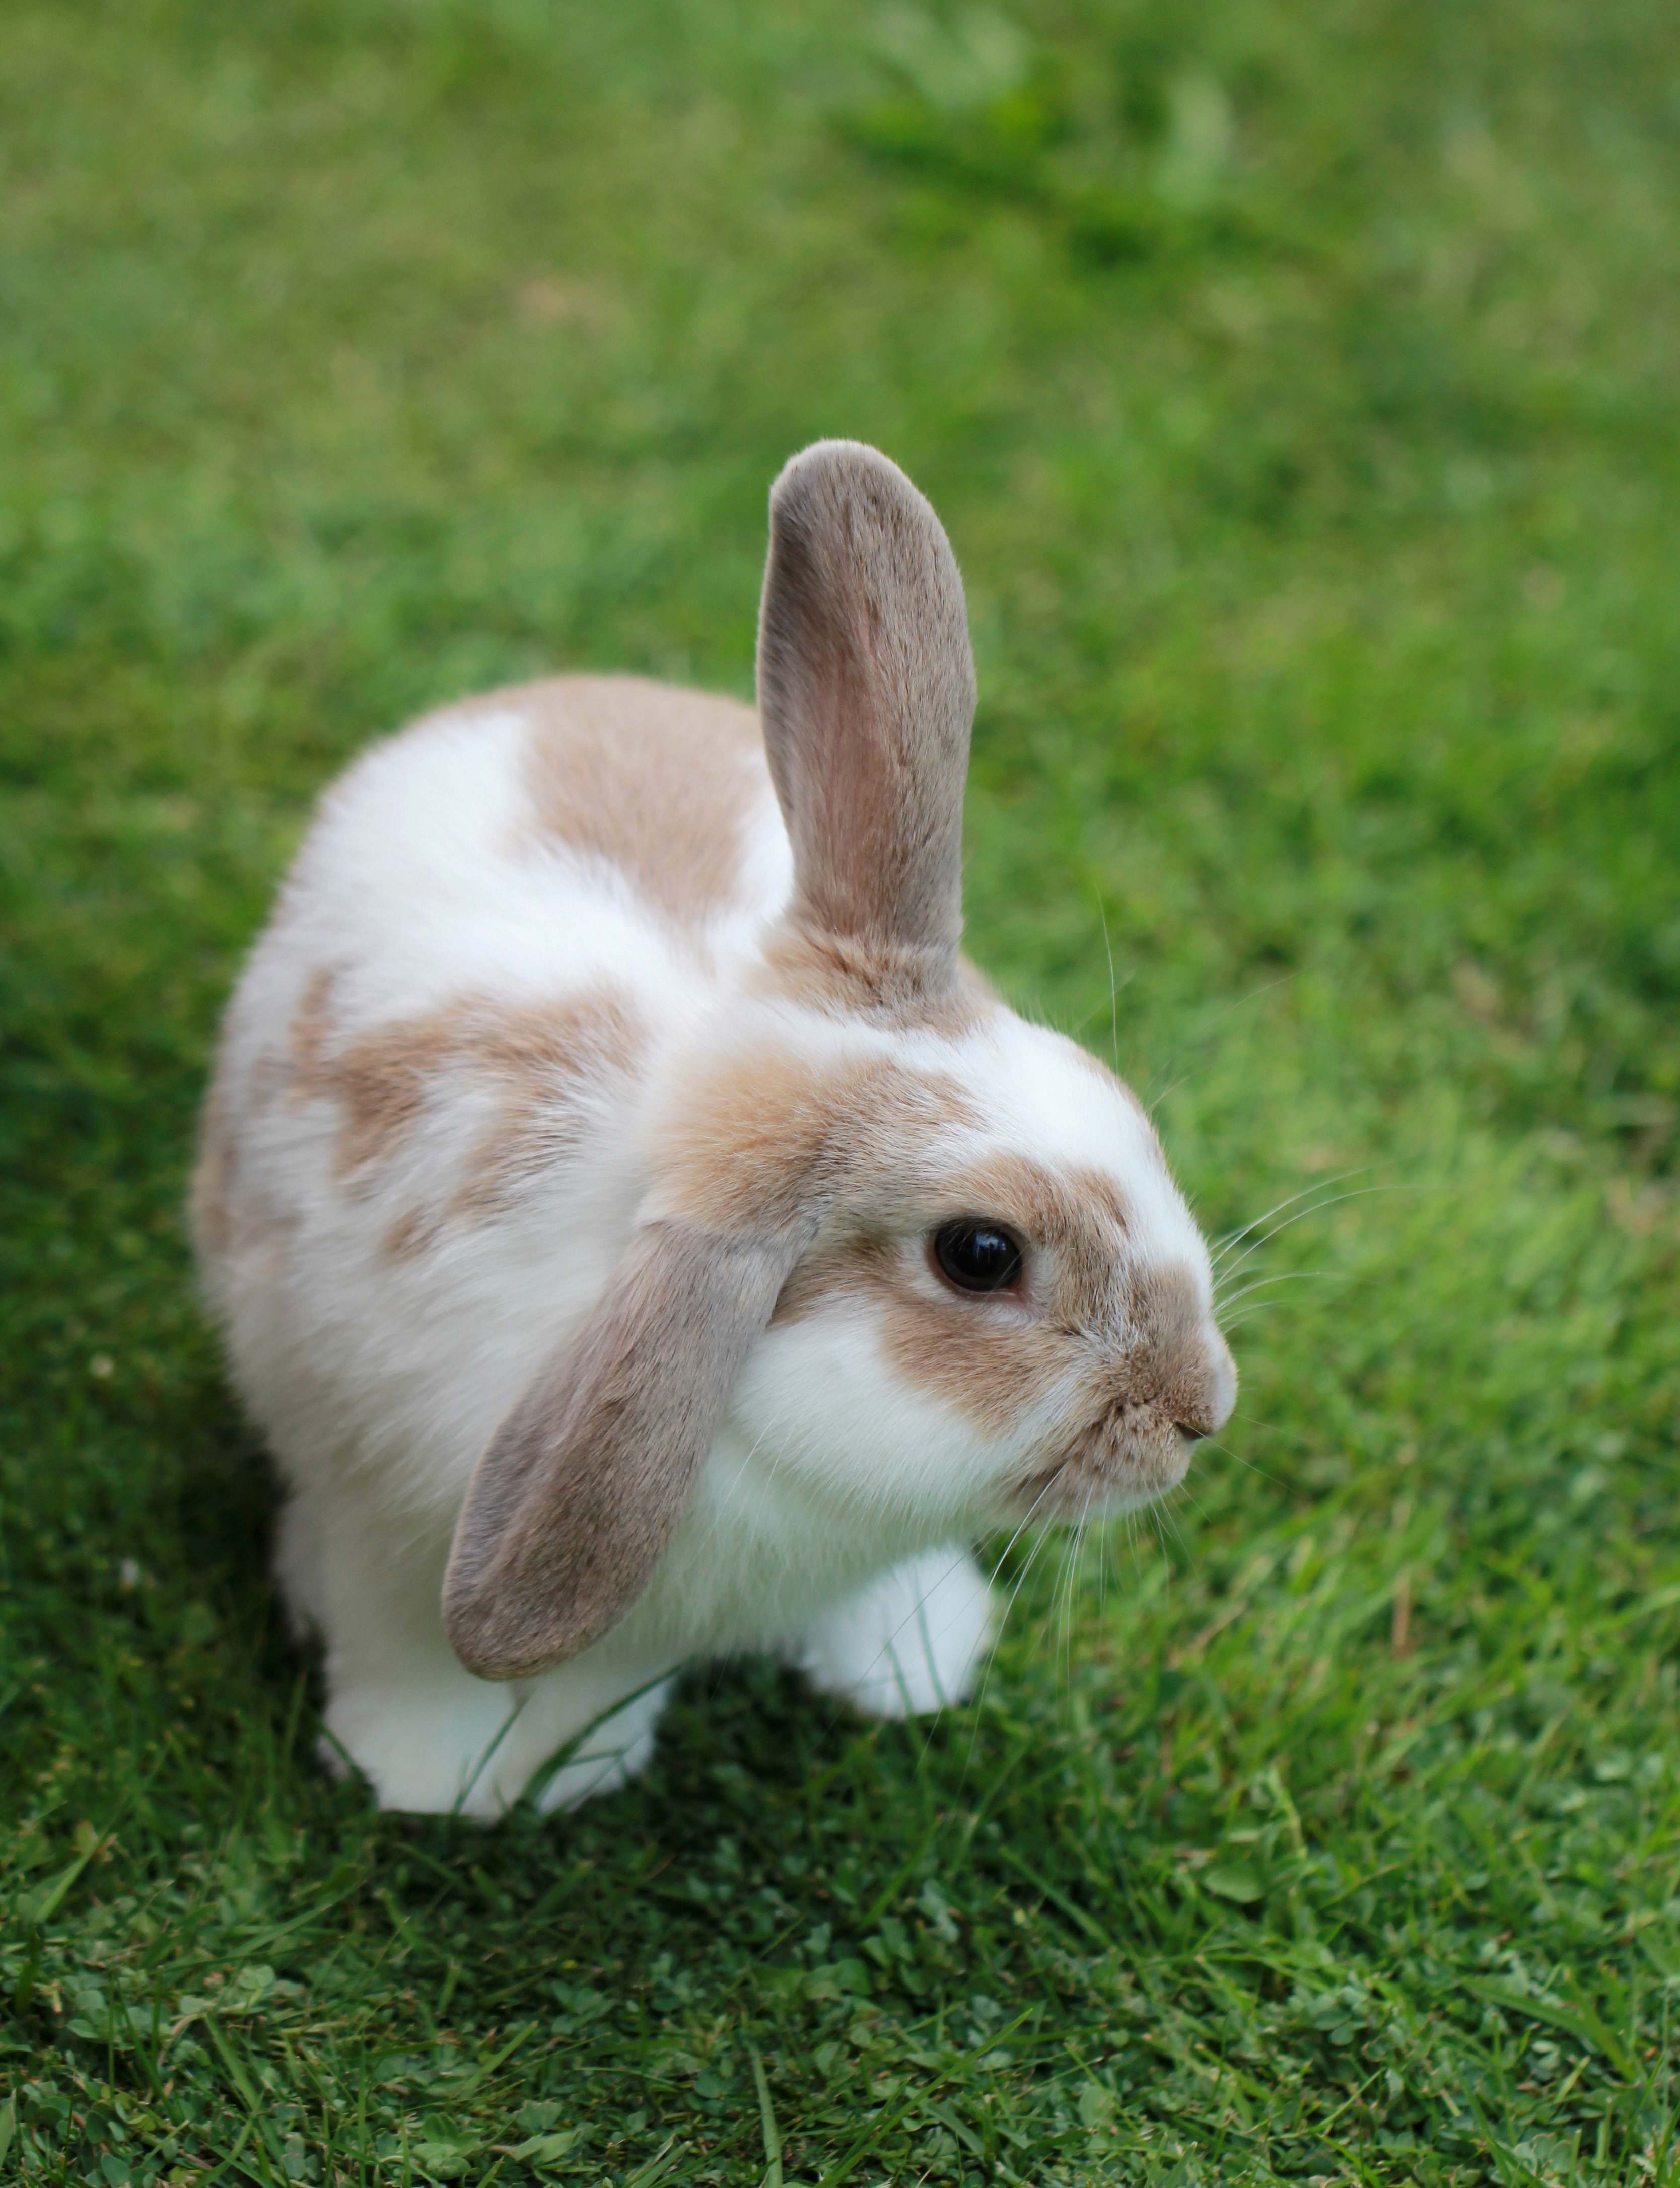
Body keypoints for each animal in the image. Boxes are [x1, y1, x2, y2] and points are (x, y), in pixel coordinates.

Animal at [193, 440, 1233, 1811]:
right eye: (980, 1255)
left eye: (1105, 1092)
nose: (1203, 1407)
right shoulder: (388, 1526)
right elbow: (414, 1651)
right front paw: (430, 1777)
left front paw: (896, 1665)